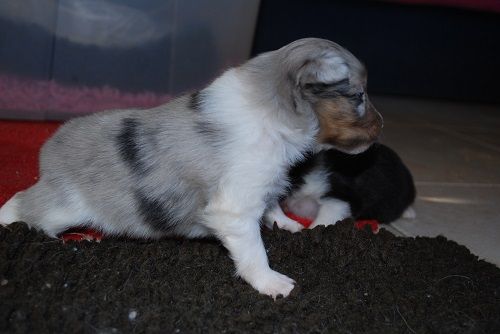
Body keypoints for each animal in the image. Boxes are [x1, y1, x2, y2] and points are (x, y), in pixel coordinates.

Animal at [0, 37, 380, 298]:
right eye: (359, 96)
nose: (381, 128)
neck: (272, 113)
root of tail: (51, 144)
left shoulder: (261, 186)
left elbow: (272, 207)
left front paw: (288, 224)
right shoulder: (233, 209)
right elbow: (254, 251)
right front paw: (272, 283)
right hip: (64, 207)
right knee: (22, 203)